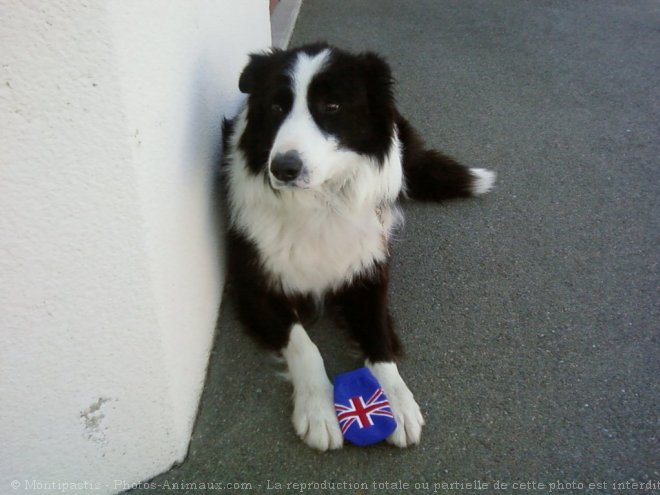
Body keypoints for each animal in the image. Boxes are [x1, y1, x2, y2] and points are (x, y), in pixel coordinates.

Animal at [223, 44, 496, 452]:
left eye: (332, 106)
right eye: (275, 107)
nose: (284, 168)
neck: (320, 203)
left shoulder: (367, 268)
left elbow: (378, 336)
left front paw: (397, 402)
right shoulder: (254, 284)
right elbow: (304, 344)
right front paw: (318, 411)